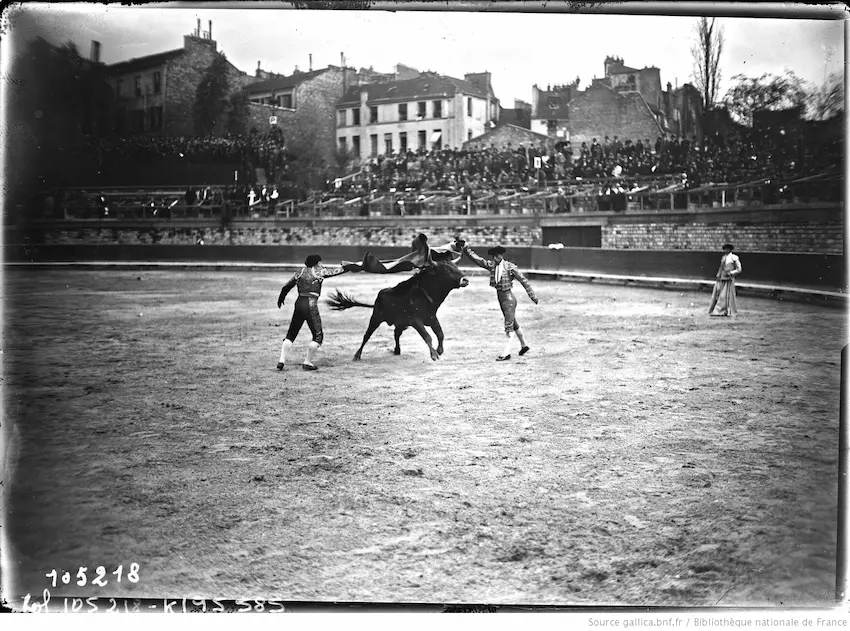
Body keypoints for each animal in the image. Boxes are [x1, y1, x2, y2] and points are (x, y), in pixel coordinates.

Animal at [326, 251, 470, 362]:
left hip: (400, 323)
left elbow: (440, 334)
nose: (465, 280)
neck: (425, 294)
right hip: (376, 318)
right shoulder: (415, 320)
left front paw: (439, 350)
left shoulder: (431, 317)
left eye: (456, 267)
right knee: (367, 335)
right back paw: (357, 355)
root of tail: (379, 296)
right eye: (446, 269)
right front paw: (434, 354)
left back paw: (397, 350)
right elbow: (427, 336)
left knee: (396, 334)